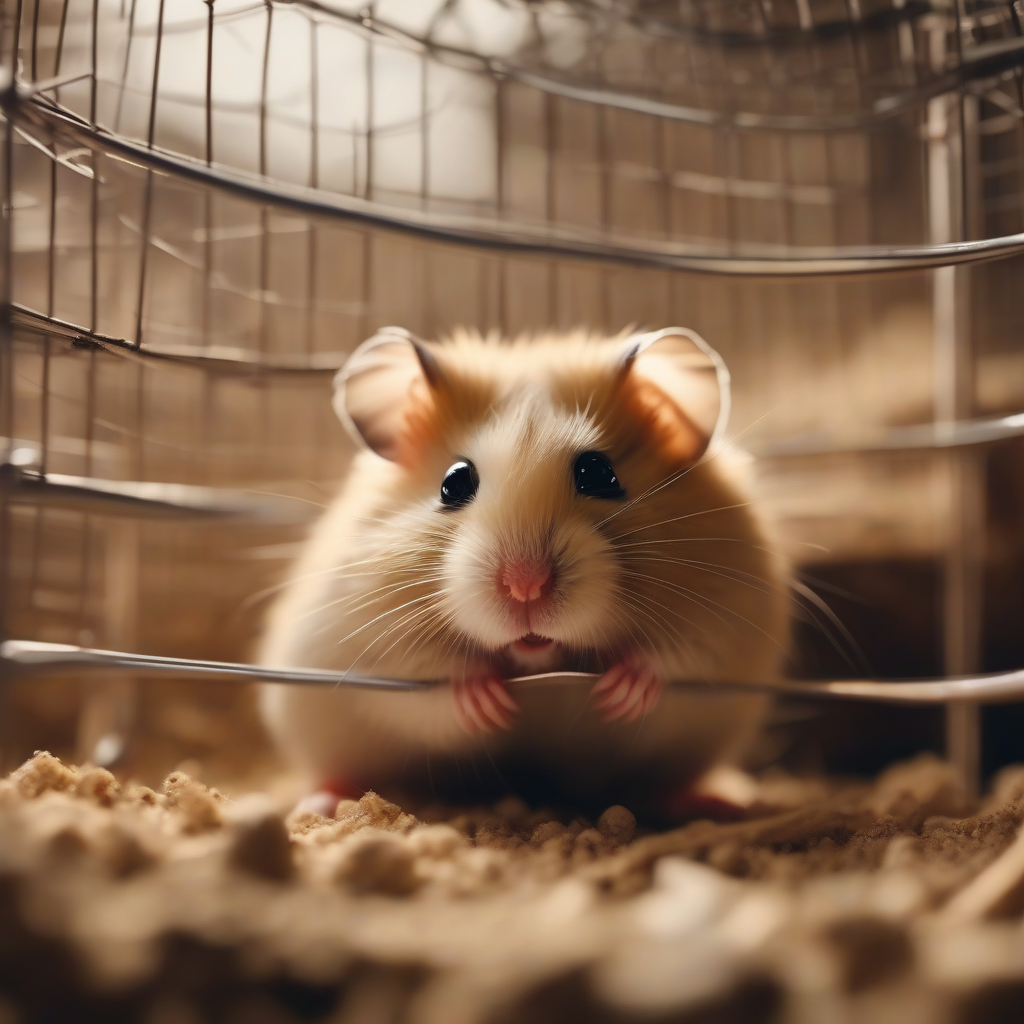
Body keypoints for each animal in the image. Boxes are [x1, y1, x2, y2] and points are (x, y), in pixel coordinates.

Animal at [258, 327, 790, 808]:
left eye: (599, 474)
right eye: (453, 482)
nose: (525, 587)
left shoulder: (725, 624)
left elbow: (675, 663)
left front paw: (618, 694)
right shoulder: (371, 649)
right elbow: (427, 688)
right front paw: (489, 703)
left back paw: (713, 800)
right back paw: (319, 801)